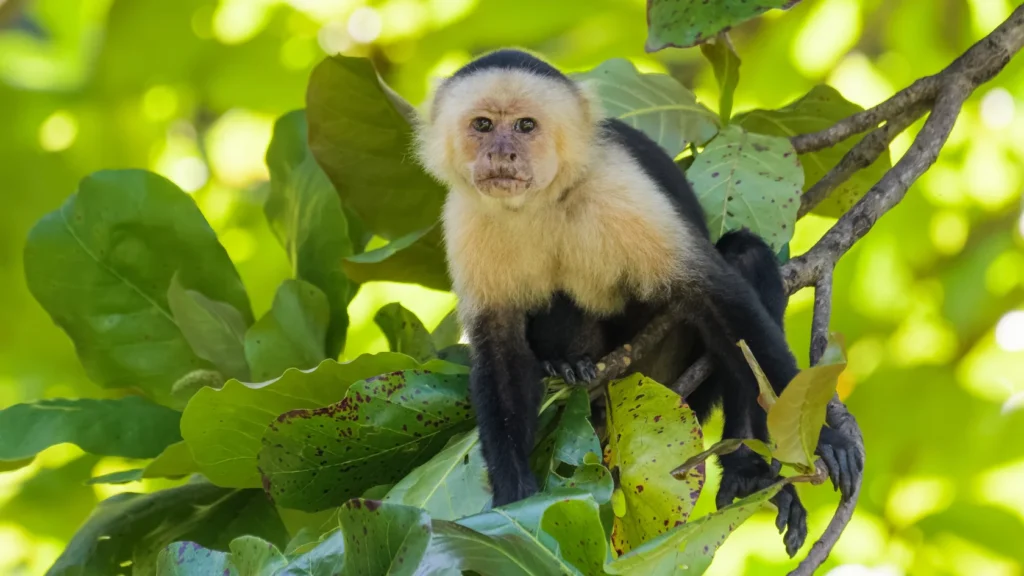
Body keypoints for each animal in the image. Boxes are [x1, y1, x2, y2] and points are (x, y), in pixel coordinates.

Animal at [414, 48, 862, 556]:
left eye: (526, 126)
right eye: (484, 125)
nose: (501, 153)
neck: (541, 200)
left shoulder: (617, 185)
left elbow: (714, 296)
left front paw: (823, 436)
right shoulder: (464, 217)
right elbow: (499, 350)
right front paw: (513, 498)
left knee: (743, 263)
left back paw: (747, 464)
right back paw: (569, 366)